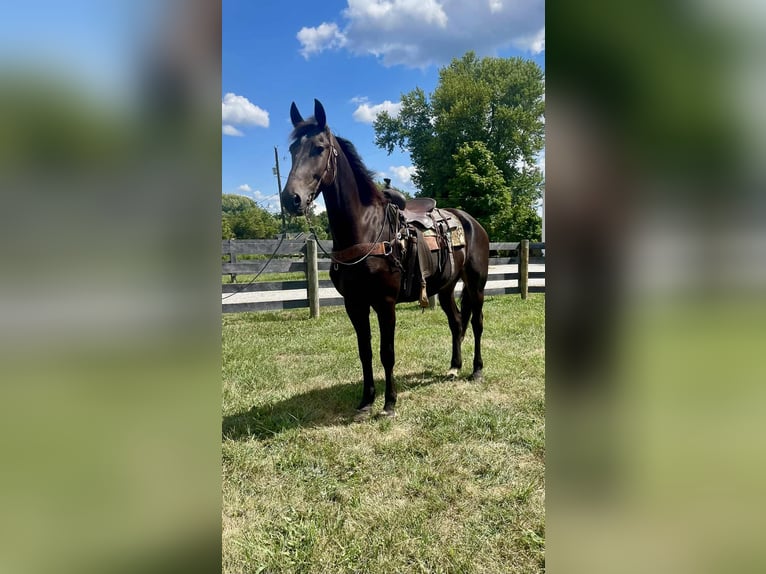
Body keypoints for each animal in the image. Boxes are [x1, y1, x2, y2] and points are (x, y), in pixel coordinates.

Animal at [281, 99, 489, 418]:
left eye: (319, 148)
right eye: (292, 150)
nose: (291, 199)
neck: (366, 231)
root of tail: (471, 222)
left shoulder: (385, 303)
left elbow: (386, 352)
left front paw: (389, 403)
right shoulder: (355, 304)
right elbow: (364, 352)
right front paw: (366, 401)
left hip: (476, 284)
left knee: (476, 323)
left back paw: (476, 370)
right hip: (445, 288)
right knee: (456, 322)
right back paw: (454, 367)